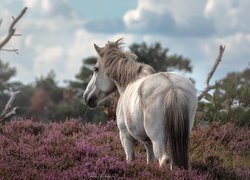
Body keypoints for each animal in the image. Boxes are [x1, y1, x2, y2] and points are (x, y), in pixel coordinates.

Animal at [83, 38, 197, 169]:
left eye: (95, 69)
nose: (87, 97)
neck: (129, 82)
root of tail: (172, 87)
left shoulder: (125, 136)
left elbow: (130, 158)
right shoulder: (147, 142)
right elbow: (150, 159)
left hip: (157, 139)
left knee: (163, 159)